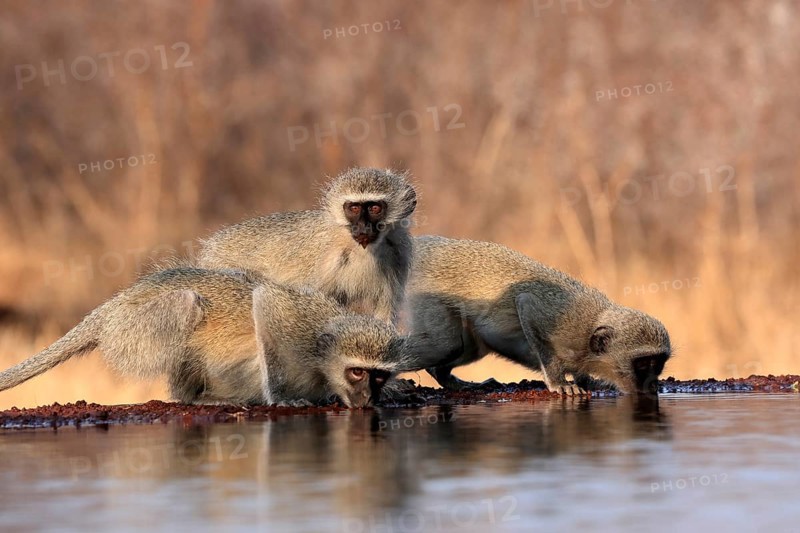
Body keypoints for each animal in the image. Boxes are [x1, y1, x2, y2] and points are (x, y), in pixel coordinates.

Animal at [0, 268, 408, 407]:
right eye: (357, 373)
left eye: (377, 376)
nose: (367, 398)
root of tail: (113, 306)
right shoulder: (297, 324)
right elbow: (265, 302)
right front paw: (281, 399)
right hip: (132, 330)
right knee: (187, 305)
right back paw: (194, 398)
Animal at [402, 237, 672, 396]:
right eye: (644, 364)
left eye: (658, 363)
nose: (652, 384)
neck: (589, 334)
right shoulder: (563, 321)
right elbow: (526, 304)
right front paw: (559, 383)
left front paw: (585, 380)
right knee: (445, 345)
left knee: (465, 347)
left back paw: (446, 378)